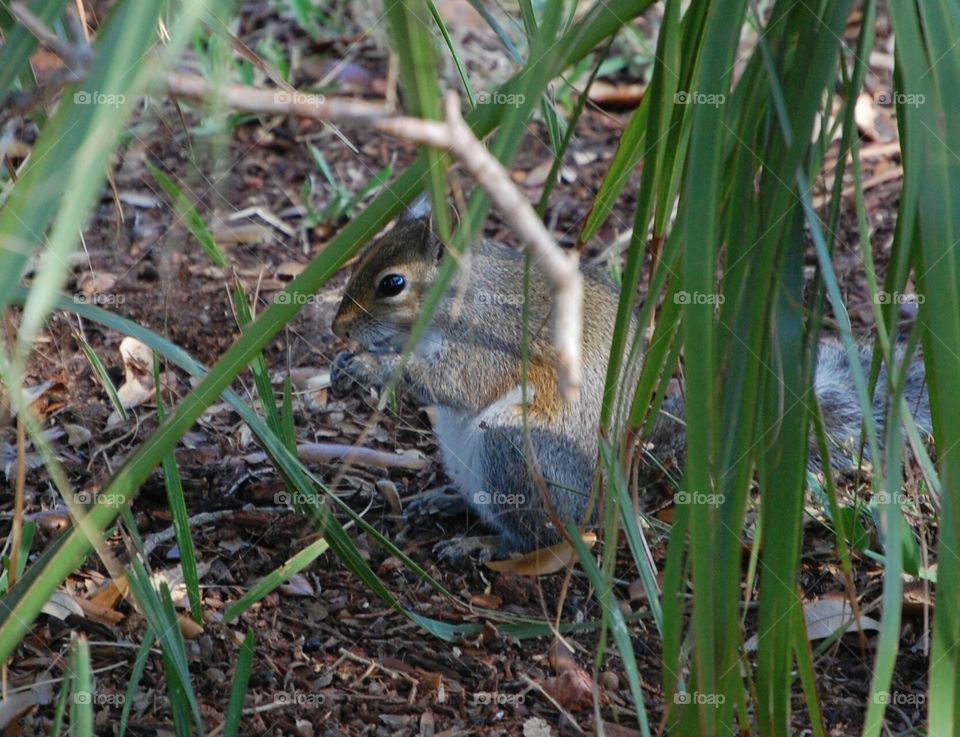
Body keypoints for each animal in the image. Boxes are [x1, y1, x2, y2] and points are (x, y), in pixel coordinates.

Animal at [330, 201, 932, 558]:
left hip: (516, 451)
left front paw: (372, 366)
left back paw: (486, 547)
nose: (339, 327)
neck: (461, 294)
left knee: (548, 534)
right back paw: (443, 502)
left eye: (392, 283)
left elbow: (458, 381)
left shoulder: (495, 339)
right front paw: (346, 364)